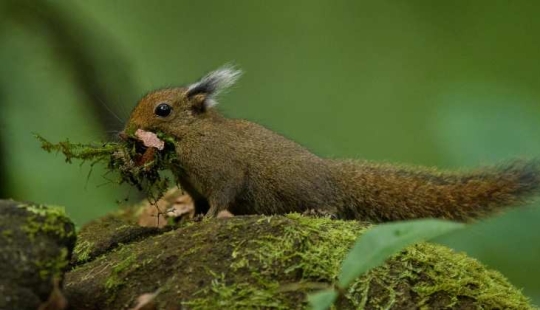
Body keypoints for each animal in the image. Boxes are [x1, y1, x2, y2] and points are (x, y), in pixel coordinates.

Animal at [122, 65, 540, 223]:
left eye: (162, 110)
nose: (126, 134)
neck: (194, 136)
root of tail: (334, 176)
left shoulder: (222, 170)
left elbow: (222, 196)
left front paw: (208, 220)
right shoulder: (192, 186)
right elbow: (196, 202)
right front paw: (190, 219)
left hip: (296, 187)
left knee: (332, 207)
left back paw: (317, 211)